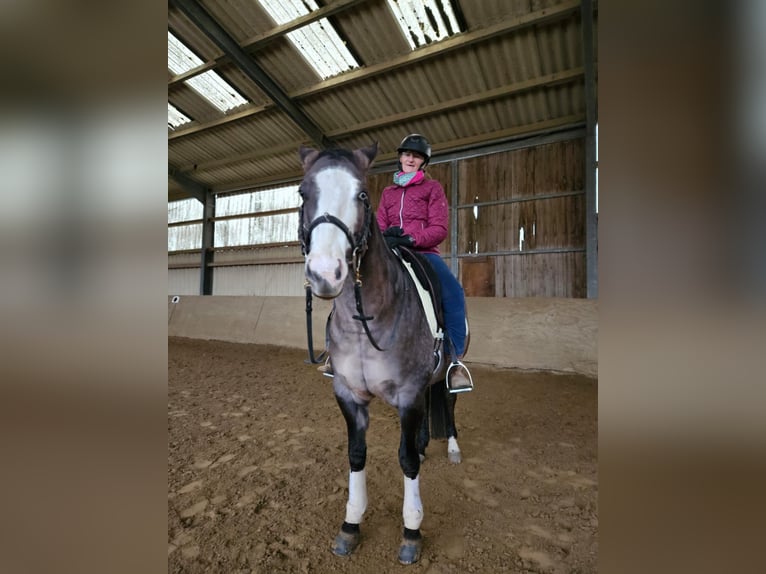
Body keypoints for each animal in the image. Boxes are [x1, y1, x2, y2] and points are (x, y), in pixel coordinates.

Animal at [298, 142, 468, 565]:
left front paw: (411, 532)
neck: (367, 320)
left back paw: (452, 447)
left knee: (448, 402)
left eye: (362, 195)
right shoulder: (348, 394)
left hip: (446, 372)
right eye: (303, 193)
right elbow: (357, 454)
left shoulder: (407, 394)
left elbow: (405, 460)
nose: (325, 273)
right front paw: (350, 525)